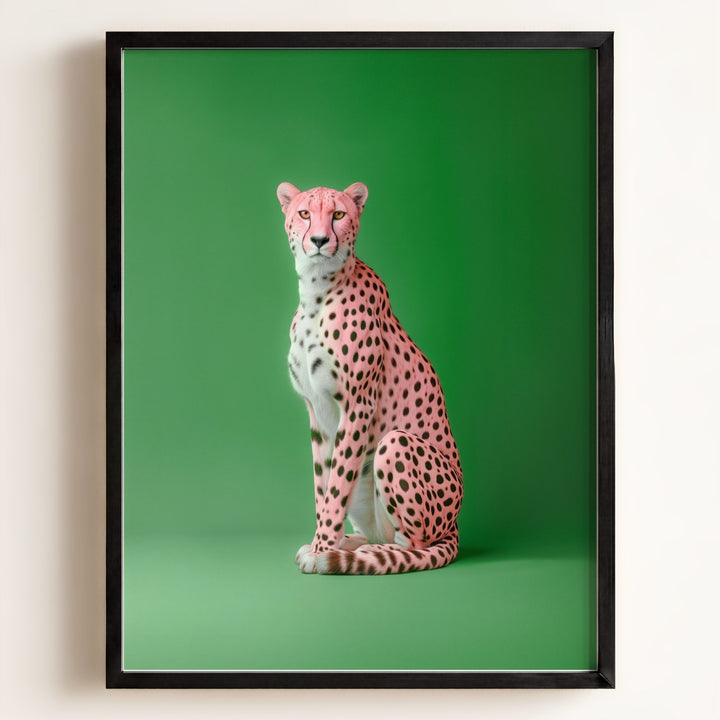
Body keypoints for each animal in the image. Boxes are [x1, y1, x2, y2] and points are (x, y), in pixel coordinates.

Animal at [278, 182, 463, 574]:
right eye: (304, 213)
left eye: (338, 214)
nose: (319, 240)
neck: (316, 291)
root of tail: (454, 525)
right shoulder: (317, 412)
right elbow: (323, 485)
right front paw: (321, 543)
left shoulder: (358, 405)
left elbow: (336, 488)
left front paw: (322, 550)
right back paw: (351, 544)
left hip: (394, 444)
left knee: (414, 546)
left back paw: (359, 554)